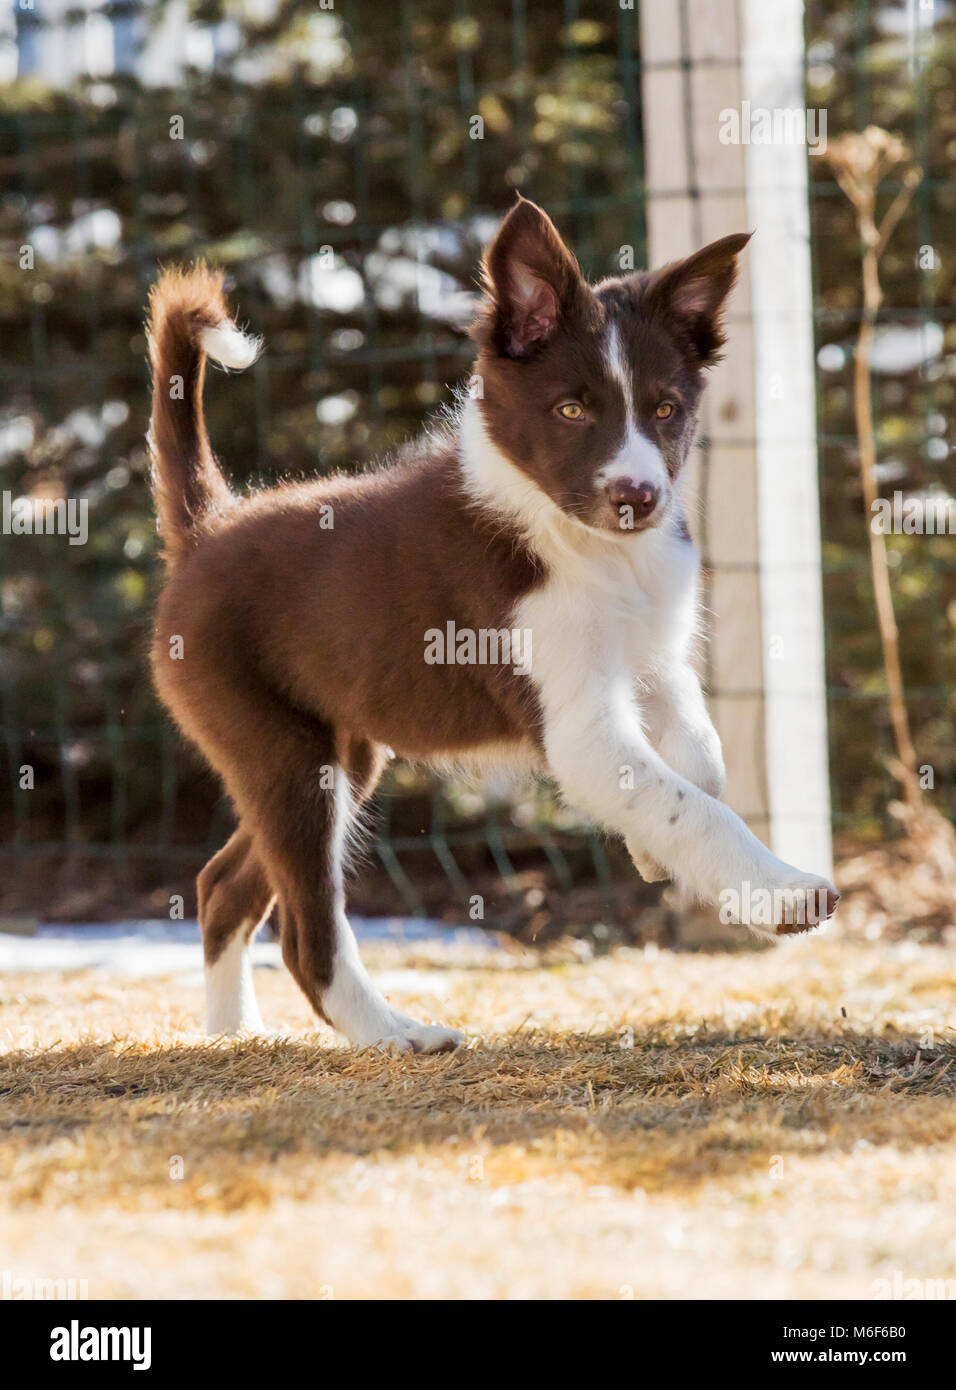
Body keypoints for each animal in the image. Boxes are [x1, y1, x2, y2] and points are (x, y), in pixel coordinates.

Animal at [143, 198, 833, 1050]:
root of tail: (207, 527)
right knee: (306, 933)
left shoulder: (655, 661)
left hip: (334, 751)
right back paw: (396, 1034)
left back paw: (234, 1033)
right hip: (280, 751)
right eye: (571, 410)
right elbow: (696, 807)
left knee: (221, 884)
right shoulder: (578, 724)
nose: (639, 497)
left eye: (666, 409)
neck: (578, 541)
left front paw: (649, 853)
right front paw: (781, 891)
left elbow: (698, 765)